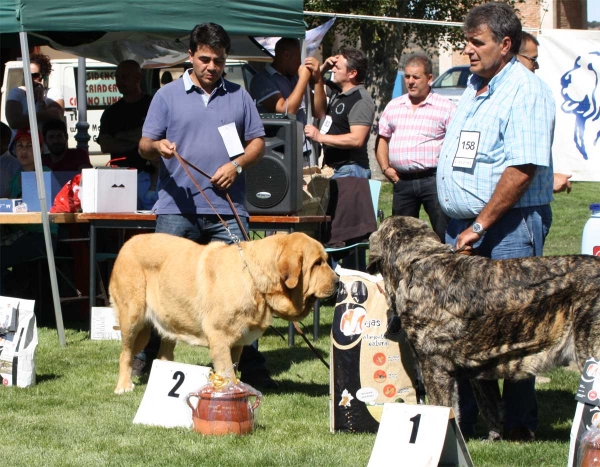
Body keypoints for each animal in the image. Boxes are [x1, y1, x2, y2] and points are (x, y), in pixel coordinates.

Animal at [366, 218, 600, 440]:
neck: (417, 262)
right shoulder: (477, 370)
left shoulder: (434, 366)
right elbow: (489, 407)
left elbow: (443, 407)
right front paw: (492, 438)